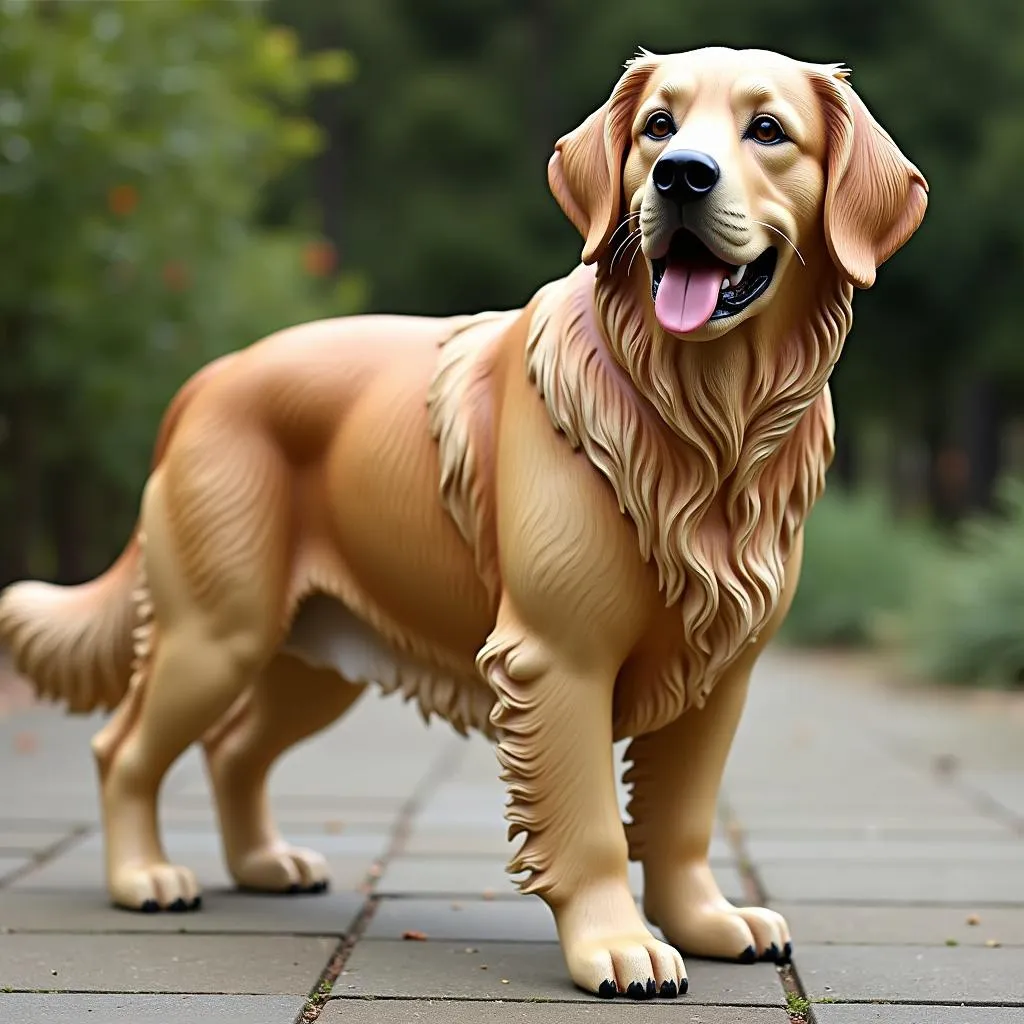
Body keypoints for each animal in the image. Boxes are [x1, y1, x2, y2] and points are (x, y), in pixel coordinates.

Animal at [0, 48, 929, 999]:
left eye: (768, 129)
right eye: (657, 128)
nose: (679, 176)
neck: (700, 416)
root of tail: (210, 378)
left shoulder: (720, 670)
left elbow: (681, 819)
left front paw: (707, 922)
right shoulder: (560, 657)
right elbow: (592, 825)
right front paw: (618, 946)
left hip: (313, 657)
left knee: (232, 750)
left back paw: (264, 865)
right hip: (218, 630)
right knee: (123, 747)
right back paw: (144, 877)